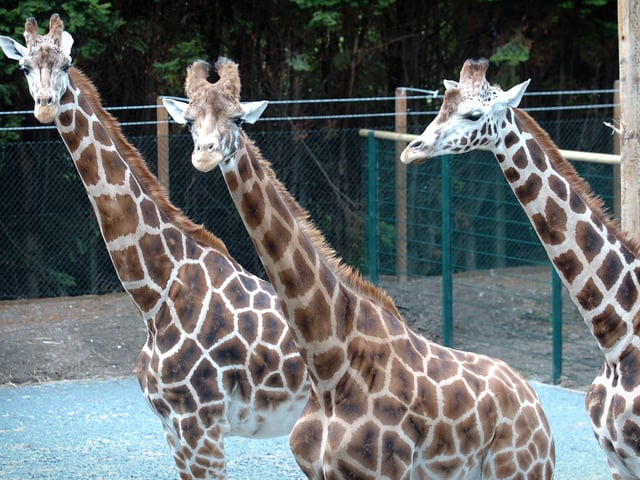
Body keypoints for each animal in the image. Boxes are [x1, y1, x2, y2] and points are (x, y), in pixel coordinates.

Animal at [0, 15, 310, 480]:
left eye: (66, 62)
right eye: (23, 67)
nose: (45, 105)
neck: (156, 292)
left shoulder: (200, 423)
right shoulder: (173, 427)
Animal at [163, 57, 555, 479]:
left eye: (237, 119)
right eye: (189, 120)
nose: (205, 155)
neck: (329, 365)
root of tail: (537, 405)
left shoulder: (379, 471)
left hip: (521, 469)